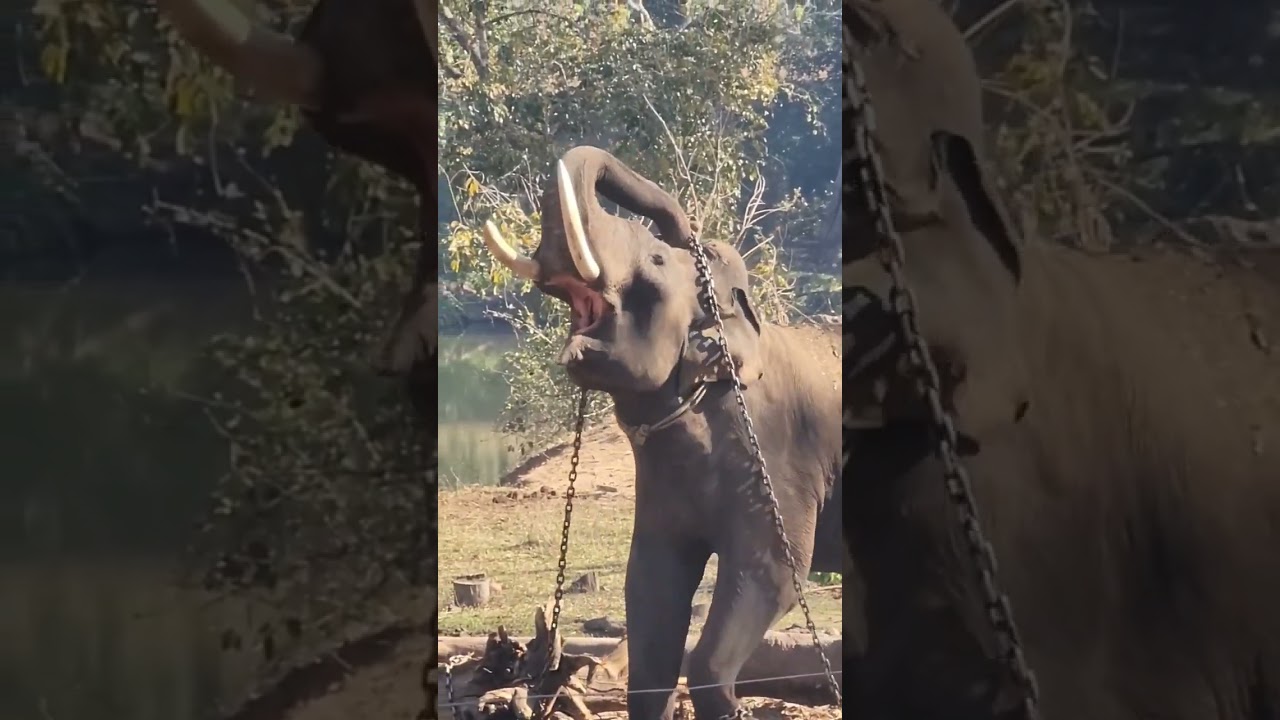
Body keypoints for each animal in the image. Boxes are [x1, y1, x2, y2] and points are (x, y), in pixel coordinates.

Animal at [481, 146, 844, 720]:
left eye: (654, 261)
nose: (685, 229)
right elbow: (651, 585)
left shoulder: (778, 465)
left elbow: (775, 572)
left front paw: (728, 703)